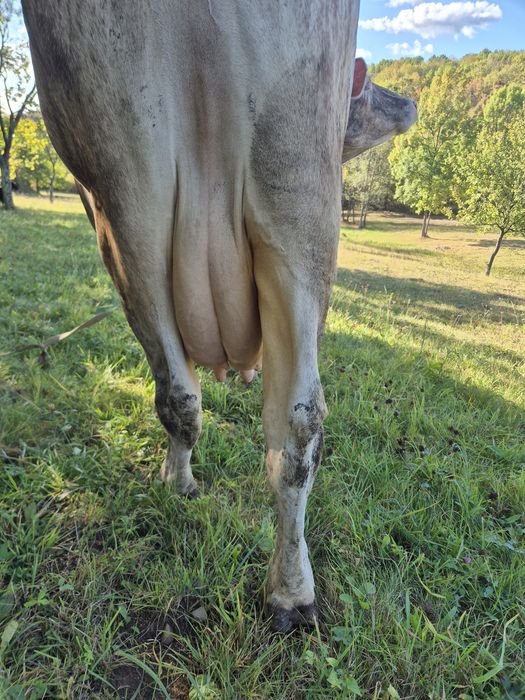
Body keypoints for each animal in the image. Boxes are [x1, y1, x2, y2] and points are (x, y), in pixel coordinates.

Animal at [22, 1, 416, 632]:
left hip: (124, 200)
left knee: (195, 398)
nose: (408, 101)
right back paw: (289, 591)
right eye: (374, 86)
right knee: (293, 422)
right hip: (288, 189)